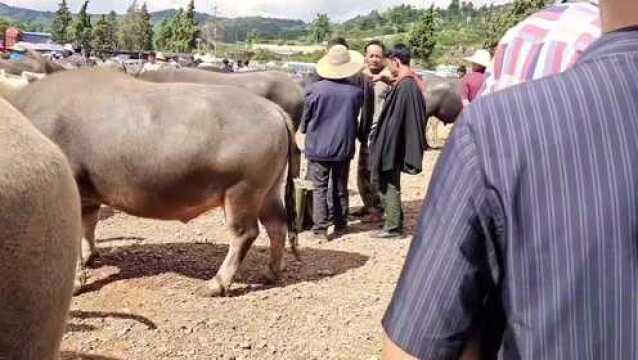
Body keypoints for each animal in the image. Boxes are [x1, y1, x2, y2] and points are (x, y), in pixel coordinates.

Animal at [6, 69, 300, 296]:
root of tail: (273, 110)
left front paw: (77, 281)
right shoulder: (88, 192)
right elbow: (88, 225)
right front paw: (90, 256)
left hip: (242, 191)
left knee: (244, 233)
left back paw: (216, 284)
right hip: (268, 191)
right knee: (277, 225)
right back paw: (272, 272)